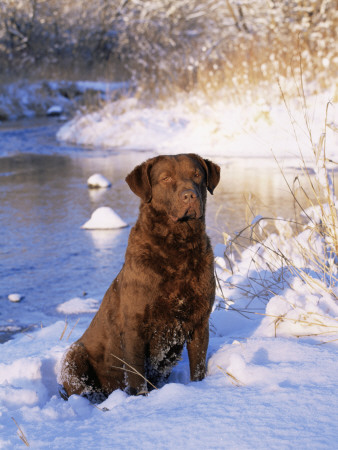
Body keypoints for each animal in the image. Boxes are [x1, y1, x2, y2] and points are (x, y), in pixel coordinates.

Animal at [59, 153, 220, 400]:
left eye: (197, 175)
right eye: (165, 178)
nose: (189, 195)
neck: (178, 249)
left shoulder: (199, 321)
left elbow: (199, 367)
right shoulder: (135, 327)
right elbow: (136, 375)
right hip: (74, 356)